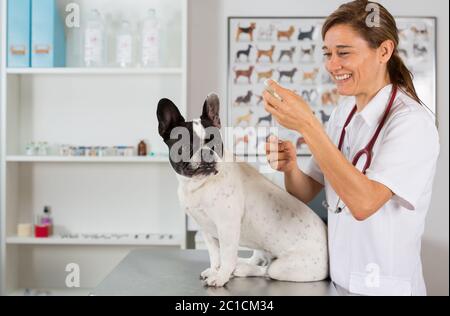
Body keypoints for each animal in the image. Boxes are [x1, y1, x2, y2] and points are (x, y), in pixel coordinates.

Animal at [156, 93, 328, 286]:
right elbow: (215, 255)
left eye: (216, 142)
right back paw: (244, 263)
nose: (207, 151)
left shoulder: (227, 227)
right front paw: (215, 270)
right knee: (260, 259)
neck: (200, 184)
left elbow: (226, 255)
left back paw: (242, 268)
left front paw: (221, 277)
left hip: (286, 267)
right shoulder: (207, 230)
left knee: (267, 270)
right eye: (186, 146)